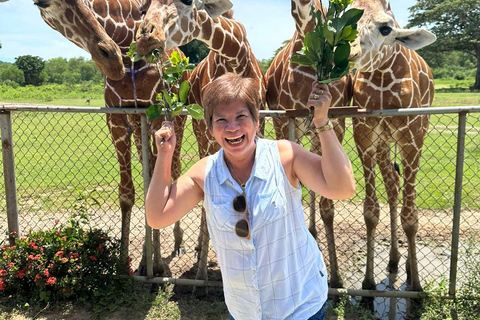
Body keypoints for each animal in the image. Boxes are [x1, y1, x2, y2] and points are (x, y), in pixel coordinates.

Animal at [27, 0, 190, 276]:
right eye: (43, 3)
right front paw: (125, 265)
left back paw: (177, 243)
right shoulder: (118, 116)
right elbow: (127, 192)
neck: (126, 45)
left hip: (179, 116)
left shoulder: (157, 112)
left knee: (174, 168)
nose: (111, 61)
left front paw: (157, 265)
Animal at [136, 0, 266, 292]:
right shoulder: (205, 133)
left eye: (186, 2)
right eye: (142, 9)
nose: (146, 37)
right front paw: (201, 278)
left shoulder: (261, 123)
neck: (236, 56)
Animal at [348, 0, 436, 300]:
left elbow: (411, 217)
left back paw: (407, 267)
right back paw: (394, 260)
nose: (350, 51)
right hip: (384, 143)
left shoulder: (412, 137)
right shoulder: (364, 136)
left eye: (386, 28)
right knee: (393, 185)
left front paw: (417, 287)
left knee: (403, 191)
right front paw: (367, 284)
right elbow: (370, 211)